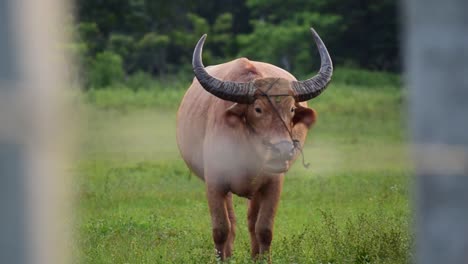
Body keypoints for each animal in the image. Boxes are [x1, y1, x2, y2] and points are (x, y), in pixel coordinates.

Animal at [176, 28, 332, 260]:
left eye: (292, 109)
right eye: (258, 109)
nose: (283, 150)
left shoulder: (273, 183)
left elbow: (264, 229)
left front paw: (262, 259)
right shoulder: (214, 181)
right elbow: (221, 229)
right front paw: (222, 258)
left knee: (251, 223)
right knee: (232, 223)